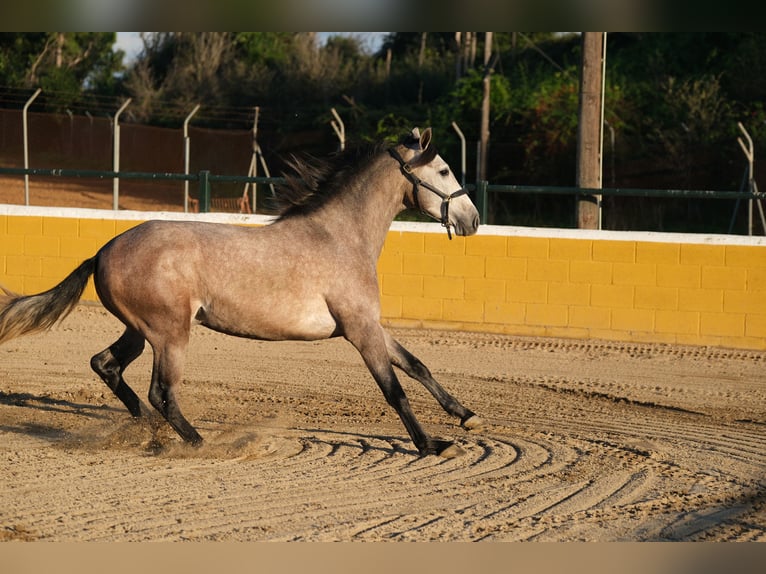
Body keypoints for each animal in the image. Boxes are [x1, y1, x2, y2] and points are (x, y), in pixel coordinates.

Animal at [0, 127, 484, 460]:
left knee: (108, 366)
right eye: (443, 171)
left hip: (140, 331)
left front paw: (467, 416)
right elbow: (393, 388)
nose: (473, 220)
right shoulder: (359, 330)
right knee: (161, 392)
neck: (342, 237)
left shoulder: (370, 325)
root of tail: (101, 252)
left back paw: (149, 433)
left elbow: (417, 365)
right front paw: (431, 445)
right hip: (170, 334)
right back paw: (200, 442)